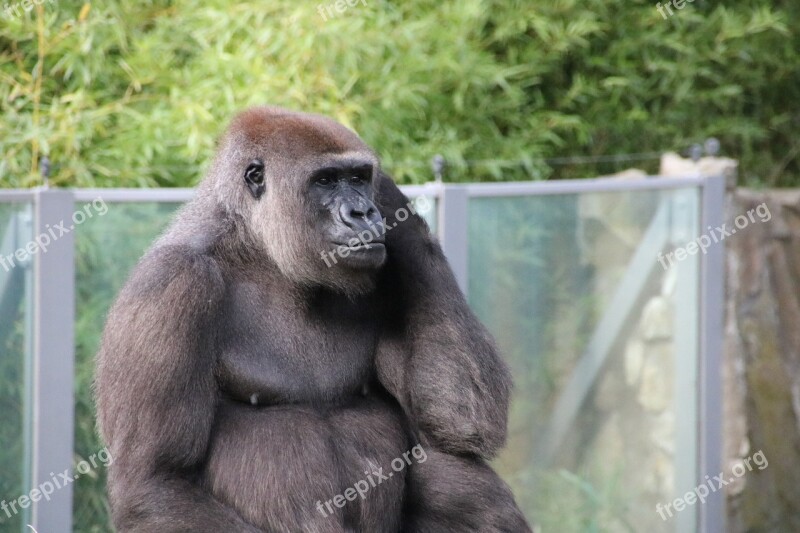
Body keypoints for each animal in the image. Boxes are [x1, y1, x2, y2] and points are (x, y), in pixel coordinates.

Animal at [95, 106, 532, 528]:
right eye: (325, 181)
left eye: (359, 177)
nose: (363, 211)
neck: (261, 250)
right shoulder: (172, 283)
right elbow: (157, 479)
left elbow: (458, 420)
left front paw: (398, 209)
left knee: (456, 468)